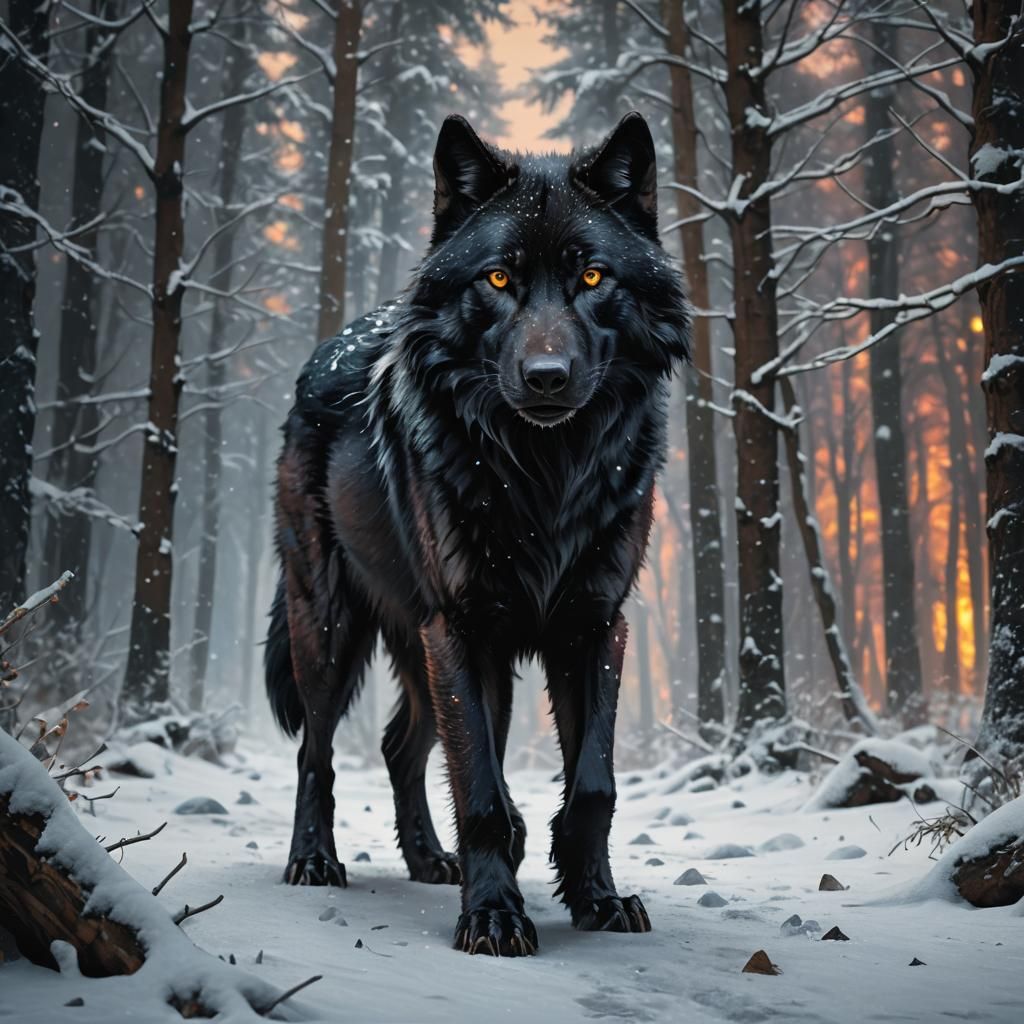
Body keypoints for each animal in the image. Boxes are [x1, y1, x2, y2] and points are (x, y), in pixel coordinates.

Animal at [265, 111, 690, 956]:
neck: (545, 476)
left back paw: (432, 860)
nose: (547, 377)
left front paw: (596, 898)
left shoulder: (595, 626)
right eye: (498, 280)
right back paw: (315, 861)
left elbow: (593, 784)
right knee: (316, 751)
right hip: (332, 629)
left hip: (426, 646)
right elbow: (483, 789)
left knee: (399, 747)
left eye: (593, 278)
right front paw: (493, 914)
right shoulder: (462, 629)